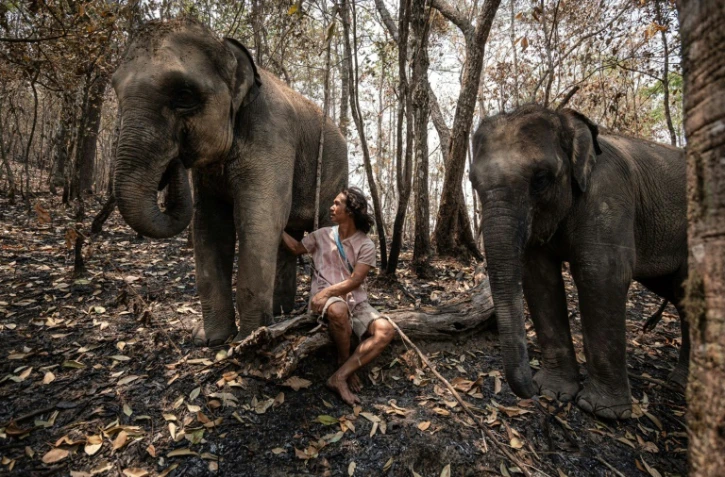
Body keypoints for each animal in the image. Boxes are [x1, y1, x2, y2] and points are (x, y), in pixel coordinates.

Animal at [111, 18, 348, 346]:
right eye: (115, 88)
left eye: (184, 96)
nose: (175, 161)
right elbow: (210, 226)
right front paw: (212, 339)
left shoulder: (272, 137)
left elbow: (259, 222)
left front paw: (248, 338)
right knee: (288, 238)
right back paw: (282, 312)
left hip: (335, 175)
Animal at [469, 104, 688, 419]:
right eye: (473, 183)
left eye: (540, 178)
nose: (530, 392)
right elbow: (539, 277)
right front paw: (553, 391)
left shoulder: (609, 196)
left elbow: (601, 276)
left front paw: (603, 411)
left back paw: (680, 383)